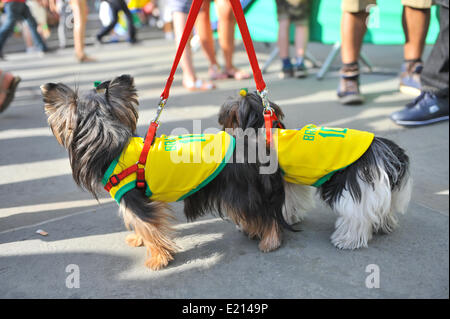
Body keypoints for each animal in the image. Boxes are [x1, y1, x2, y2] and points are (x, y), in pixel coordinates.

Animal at [41, 75, 292, 270]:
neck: (107, 138)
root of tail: (252, 141)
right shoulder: (138, 201)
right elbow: (138, 224)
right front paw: (138, 240)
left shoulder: (136, 200)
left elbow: (149, 227)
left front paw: (158, 258)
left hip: (240, 192)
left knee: (265, 215)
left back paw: (270, 241)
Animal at [220, 91, 414, 251]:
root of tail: (380, 148)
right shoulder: (290, 182)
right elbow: (292, 201)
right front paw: (291, 217)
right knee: (380, 209)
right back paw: (385, 224)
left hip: (355, 187)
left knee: (357, 217)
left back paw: (347, 240)